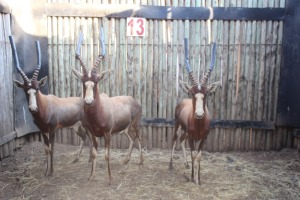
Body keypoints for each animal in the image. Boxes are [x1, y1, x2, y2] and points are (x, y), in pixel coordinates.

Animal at [9, 35, 91, 177]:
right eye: (25, 90)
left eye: (37, 89)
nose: (33, 108)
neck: (45, 106)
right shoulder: (43, 131)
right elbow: (46, 149)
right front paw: (46, 171)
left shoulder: (53, 130)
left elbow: (52, 148)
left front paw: (51, 172)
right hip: (76, 126)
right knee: (84, 137)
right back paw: (76, 159)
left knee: (90, 137)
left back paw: (90, 159)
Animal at [72, 30, 144, 184]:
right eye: (83, 82)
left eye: (96, 82)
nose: (88, 102)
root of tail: (134, 100)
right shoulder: (93, 134)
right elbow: (94, 154)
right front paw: (91, 176)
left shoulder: (107, 134)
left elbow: (106, 155)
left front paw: (110, 179)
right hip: (125, 128)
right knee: (131, 139)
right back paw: (126, 160)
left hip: (135, 124)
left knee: (138, 137)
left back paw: (141, 161)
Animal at [169, 39, 220, 185]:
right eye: (193, 93)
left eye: (206, 94)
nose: (199, 114)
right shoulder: (192, 138)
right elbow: (193, 155)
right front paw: (192, 177)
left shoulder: (203, 138)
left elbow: (198, 156)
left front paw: (199, 179)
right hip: (177, 125)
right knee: (175, 139)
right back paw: (170, 165)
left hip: (186, 132)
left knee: (181, 140)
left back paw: (185, 164)